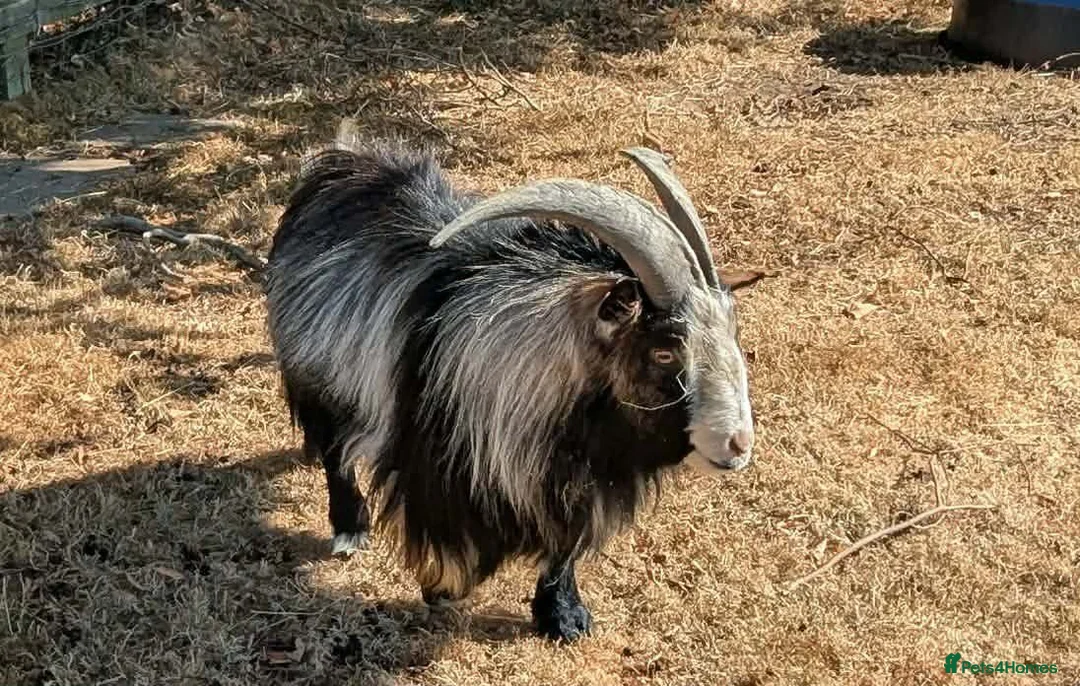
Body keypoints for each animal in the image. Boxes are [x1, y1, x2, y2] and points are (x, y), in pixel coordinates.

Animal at [265, 128, 755, 641]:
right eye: (664, 351)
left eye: (731, 334)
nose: (738, 445)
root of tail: (343, 162)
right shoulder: (435, 467)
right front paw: (442, 591)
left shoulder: (574, 484)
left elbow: (563, 546)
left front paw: (563, 616)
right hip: (316, 376)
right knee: (333, 448)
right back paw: (349, 527)